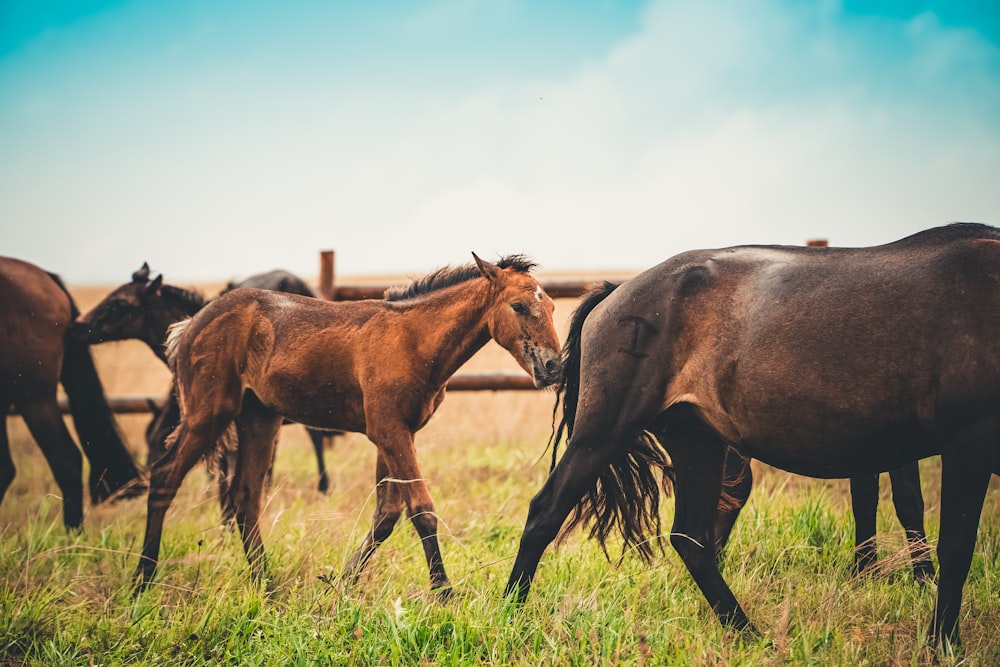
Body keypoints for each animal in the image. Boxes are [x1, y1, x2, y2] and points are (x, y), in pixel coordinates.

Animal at [131, 256, 564, 596]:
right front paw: (444, 593)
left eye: (552, 307)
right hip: (207, 415)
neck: (413, 339)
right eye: (519, 306)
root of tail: (190, 323)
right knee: (166, 477)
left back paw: (265, 585)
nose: (554, 367)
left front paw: (340, 584)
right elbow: (421, 509)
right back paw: (142, 581)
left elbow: (386, 515)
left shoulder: (397, 433)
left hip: (259, 421)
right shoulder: (389, 431)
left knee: (245, 497)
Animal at [508, 224, 1000, 648]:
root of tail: (618, 292)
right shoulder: (967, 444)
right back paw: (512, 615)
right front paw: (942, 641)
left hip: (696, 441)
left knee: (692, 539)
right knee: (545, 512)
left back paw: (746, 632)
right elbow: (954, 546)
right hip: (604, 431)